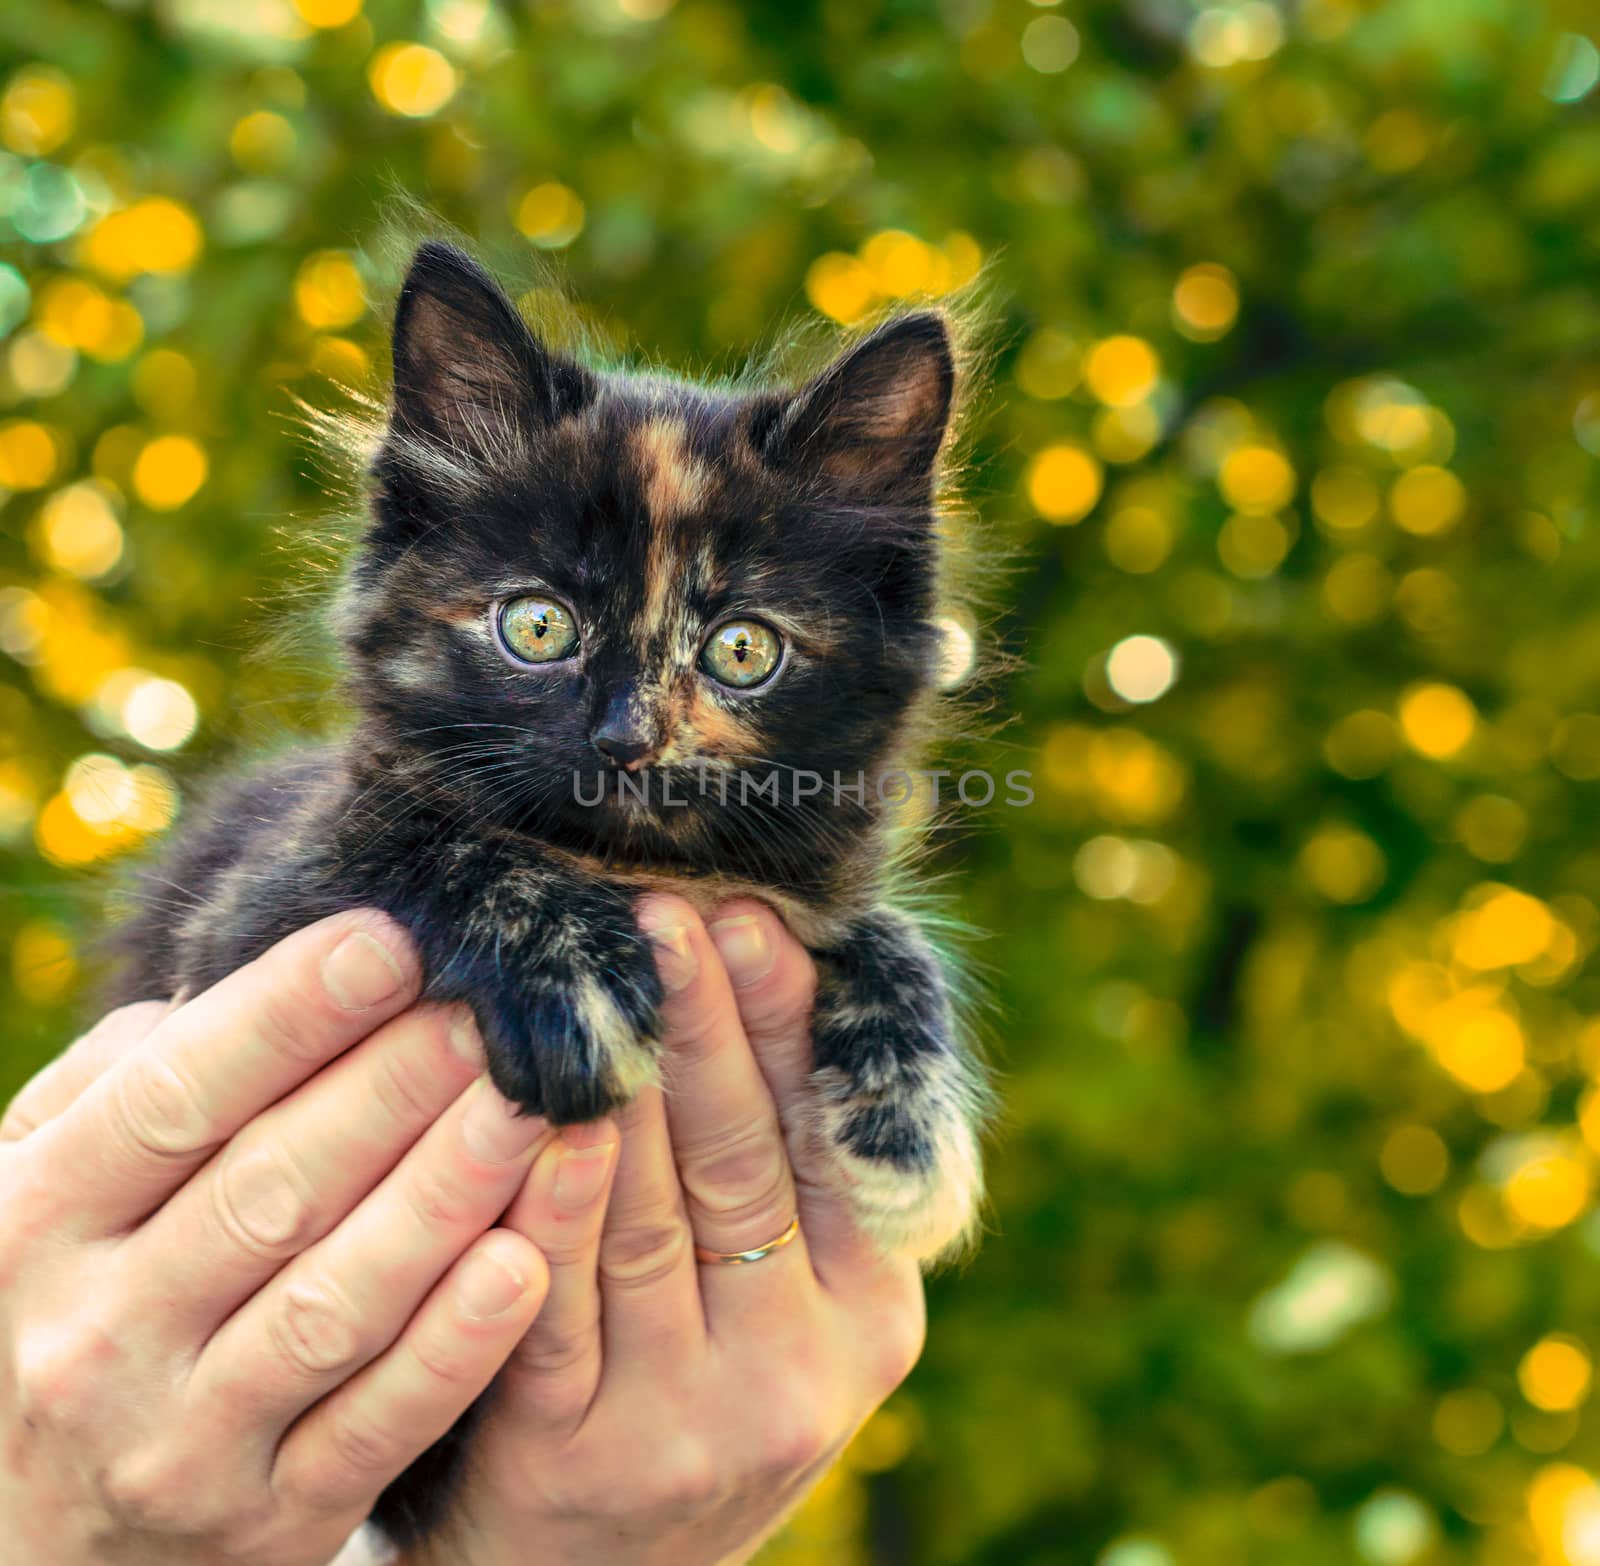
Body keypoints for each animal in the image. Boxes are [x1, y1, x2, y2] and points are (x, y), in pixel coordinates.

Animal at [109, 238, 985, 1548]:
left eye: (741, 649)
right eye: (536, 626)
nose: (627, 739)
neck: (629, 865)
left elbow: (887, 937)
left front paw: (906, 1127)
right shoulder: (242, 925)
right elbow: (439, 846)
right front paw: (572, 978)